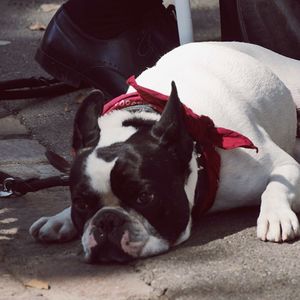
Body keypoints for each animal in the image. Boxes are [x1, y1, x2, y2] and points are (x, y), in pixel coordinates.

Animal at [29, 41, 300, 262]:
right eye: (81, 204)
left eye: (145, 197)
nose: (107, 219)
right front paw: (61, 218)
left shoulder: (282, 167)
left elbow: (276, 185)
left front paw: (275, 214)